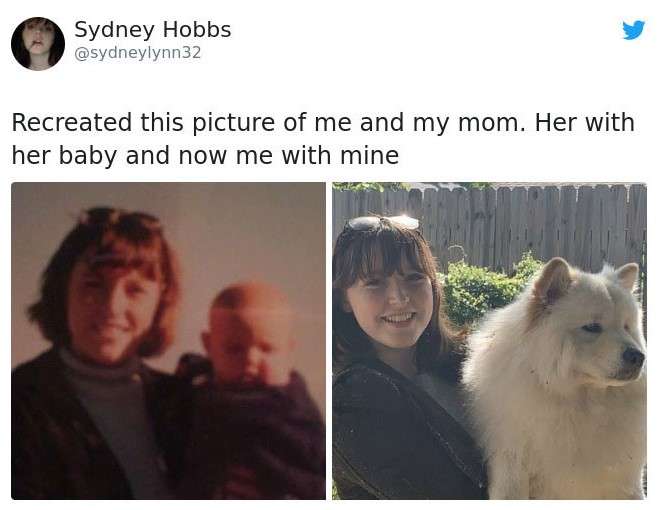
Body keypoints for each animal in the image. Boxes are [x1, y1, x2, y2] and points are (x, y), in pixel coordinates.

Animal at [464, 258, 644, 498]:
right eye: (592, 327)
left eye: (627, 327)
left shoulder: (625, 481)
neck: (581, 402)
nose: (638, 357)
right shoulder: (513, 467)